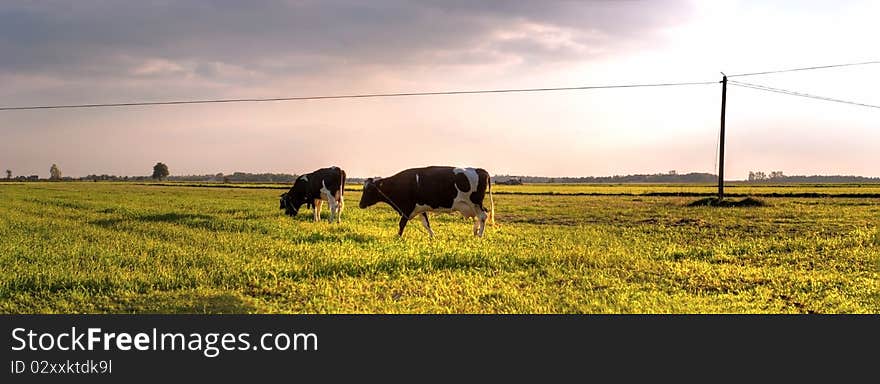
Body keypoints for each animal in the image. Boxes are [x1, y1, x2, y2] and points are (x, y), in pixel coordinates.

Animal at [358, 166, 496, 237]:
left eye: (369, 189)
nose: (360, 204)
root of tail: (480, 170)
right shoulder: (420, 208)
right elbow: (426, 224)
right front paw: (432, 236)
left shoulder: (407, 208)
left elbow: (401, 224)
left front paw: (398, 237)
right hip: (473, 205)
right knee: (481, 215)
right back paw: (475, 231)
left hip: (475, 202)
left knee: (483, 215)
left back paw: (480, 234)